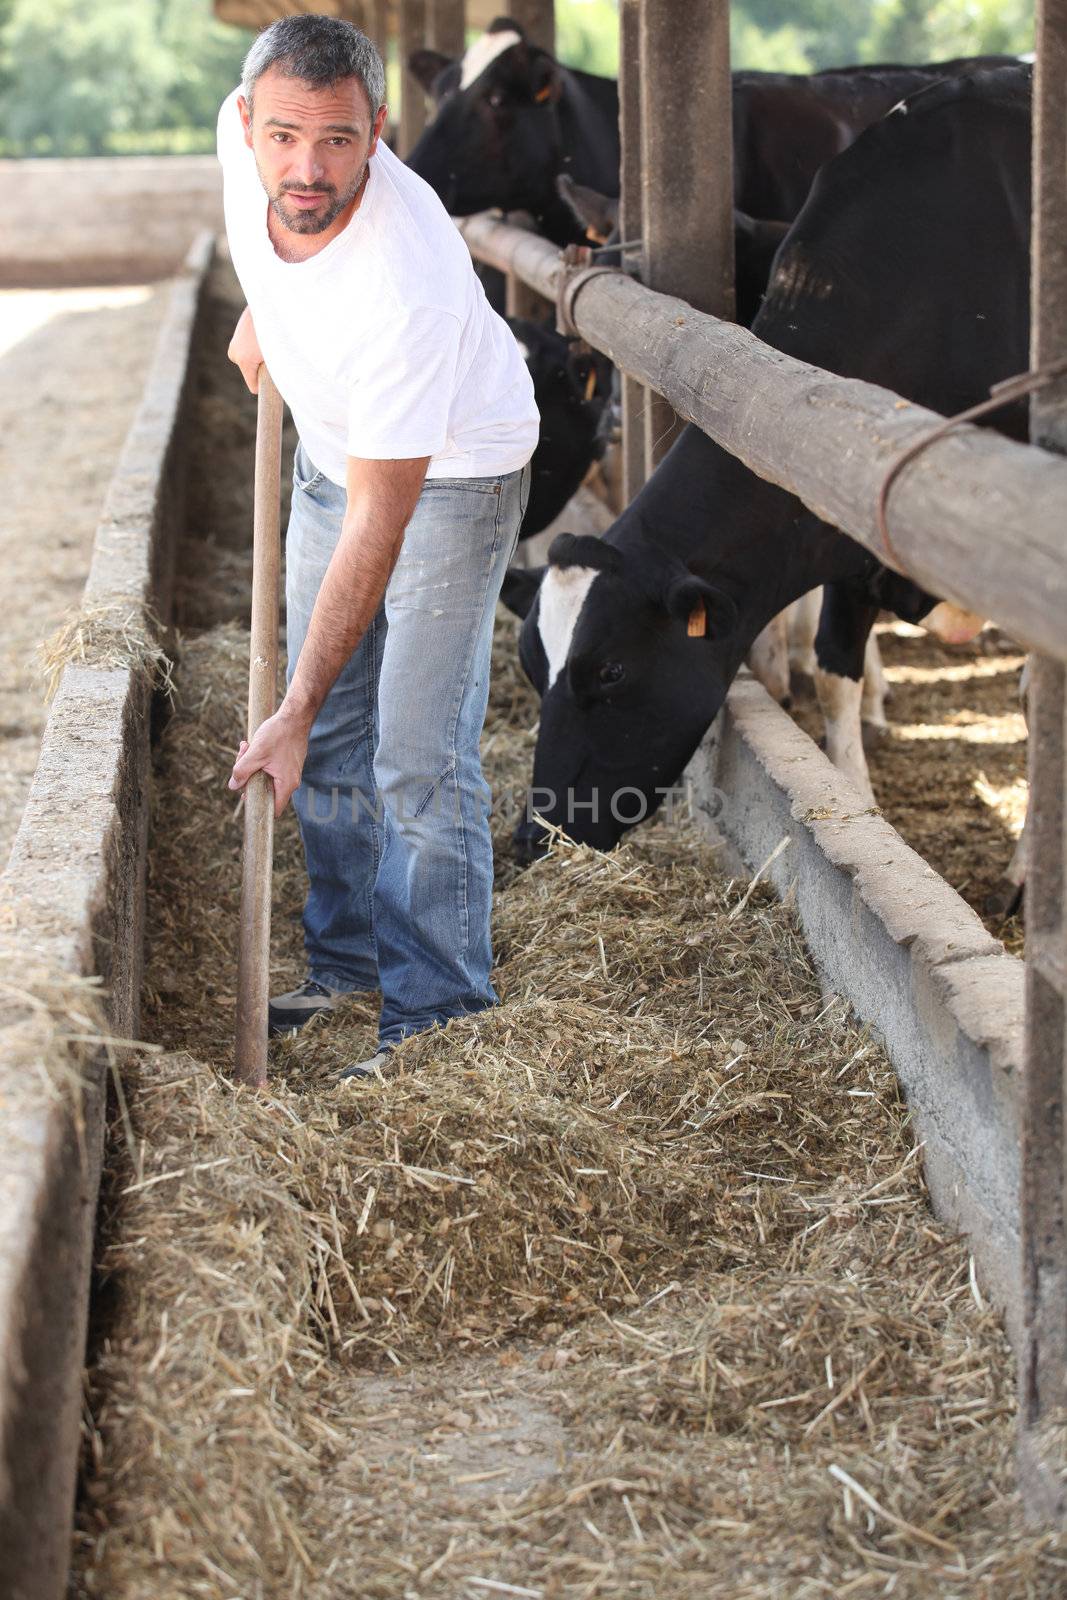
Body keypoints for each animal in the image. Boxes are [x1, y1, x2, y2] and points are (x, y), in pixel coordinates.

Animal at [505, 68, 1036, 857]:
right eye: (530, 666)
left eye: (611, 670)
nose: (534, 832)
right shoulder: (845, 520)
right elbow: (835, 667)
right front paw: (857, 791)